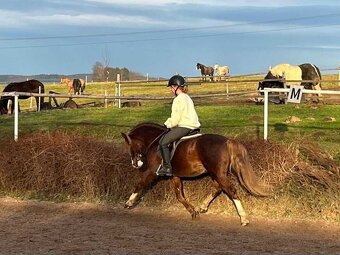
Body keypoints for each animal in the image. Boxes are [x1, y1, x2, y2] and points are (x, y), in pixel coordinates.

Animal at [121, 122, 270, 226]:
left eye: (130, 146)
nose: (135, 164)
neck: (155, 142)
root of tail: (227, 141)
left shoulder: (152, 172)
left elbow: (140, 184)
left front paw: (128, 203)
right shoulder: (175, 176)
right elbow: (179, 196)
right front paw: (193, 211)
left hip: (217, 173)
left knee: (230, 190)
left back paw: (243, 218)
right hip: (216, 172)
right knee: (218, 188)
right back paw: (202, 206)